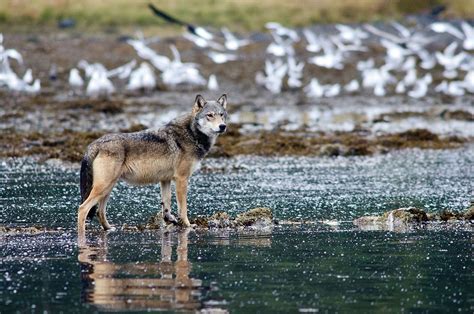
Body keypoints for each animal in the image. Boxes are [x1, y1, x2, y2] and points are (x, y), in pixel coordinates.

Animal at [77, 93, 228, 233]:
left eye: (221, 115)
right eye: (210, 115)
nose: (222, 126)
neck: (192, 133)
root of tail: (94, 144)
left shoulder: (165, 180)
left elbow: (166, 204)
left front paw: (169, 219)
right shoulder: (181, 179)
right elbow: (183, 208)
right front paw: (188, 225)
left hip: (108, 188)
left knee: (99, 211)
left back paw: (109, 228)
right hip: (103, 187)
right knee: (82, 209)